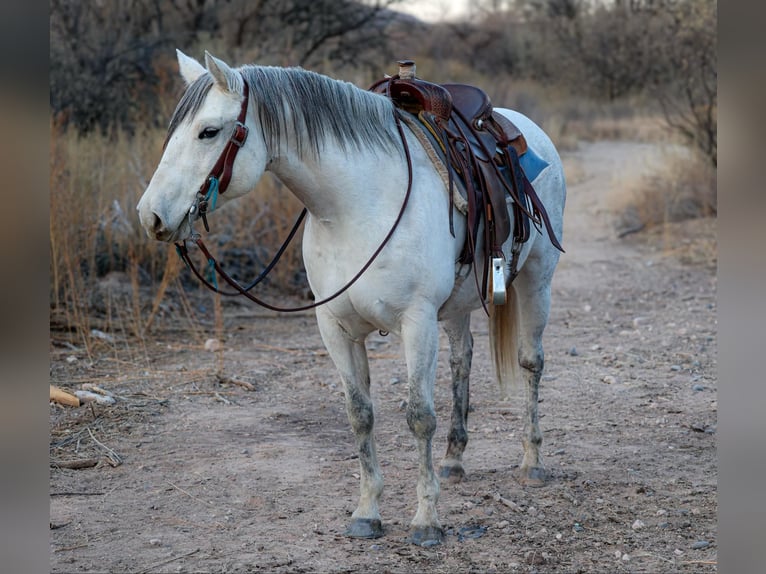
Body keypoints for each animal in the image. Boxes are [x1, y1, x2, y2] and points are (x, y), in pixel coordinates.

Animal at [136, 50, 566, 547]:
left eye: (208, 131)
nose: (150, 215)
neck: (355, 207)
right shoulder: (335, 328)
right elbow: (360, 414)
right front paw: (367, 513)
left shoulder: (417, 322)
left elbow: (419, 415)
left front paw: (426, 520)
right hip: (457, 306)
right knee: (463, 361)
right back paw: (454, 460)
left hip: (536, 281)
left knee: (531, 362)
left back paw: (532, 462)